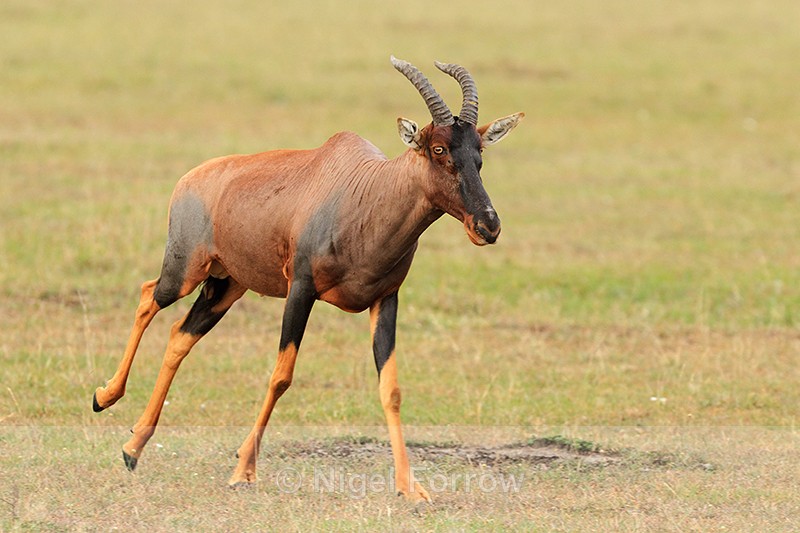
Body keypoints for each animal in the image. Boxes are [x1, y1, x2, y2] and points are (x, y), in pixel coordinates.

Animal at [92, 56, 523, 502]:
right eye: (438, 148)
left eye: (479, 152)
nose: (488, 226)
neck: (367, 191)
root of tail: (191, 178)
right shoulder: (301, 290)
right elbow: (282, 375)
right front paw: (243, 470)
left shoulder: (386, 299)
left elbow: (390, 389)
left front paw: (411, 488)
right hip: (185, 271)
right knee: (148, 297)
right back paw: (104, 396)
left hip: (226, 286)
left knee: (180, 335)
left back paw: (132, 448)